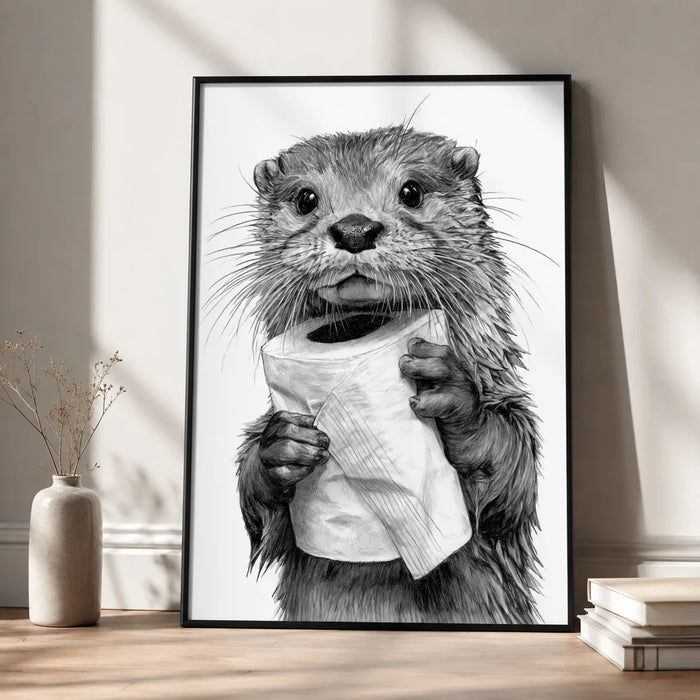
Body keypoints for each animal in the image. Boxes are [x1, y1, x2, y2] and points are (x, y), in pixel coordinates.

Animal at [230, 126, 541, 625]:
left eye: (411, 190)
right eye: (305, 198)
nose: (355, 228)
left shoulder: (505, 400)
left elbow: (511, 477)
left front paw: (453, 395)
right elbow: (265, 521)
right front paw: (278, 447)